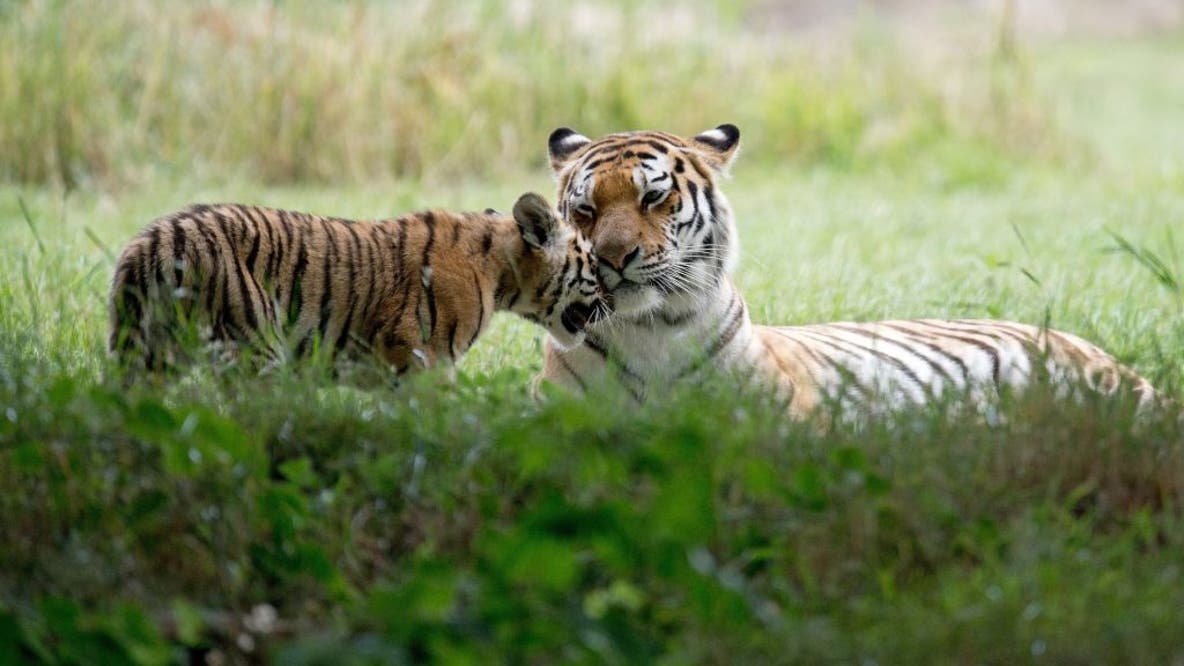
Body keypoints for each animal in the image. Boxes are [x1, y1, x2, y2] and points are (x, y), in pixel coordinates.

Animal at [108, 192, 610, 377]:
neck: (502, 274)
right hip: (253, 347)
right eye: (594, 265)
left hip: (146, 355)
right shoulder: (420, 358)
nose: (613, 297)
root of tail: (155, 239)